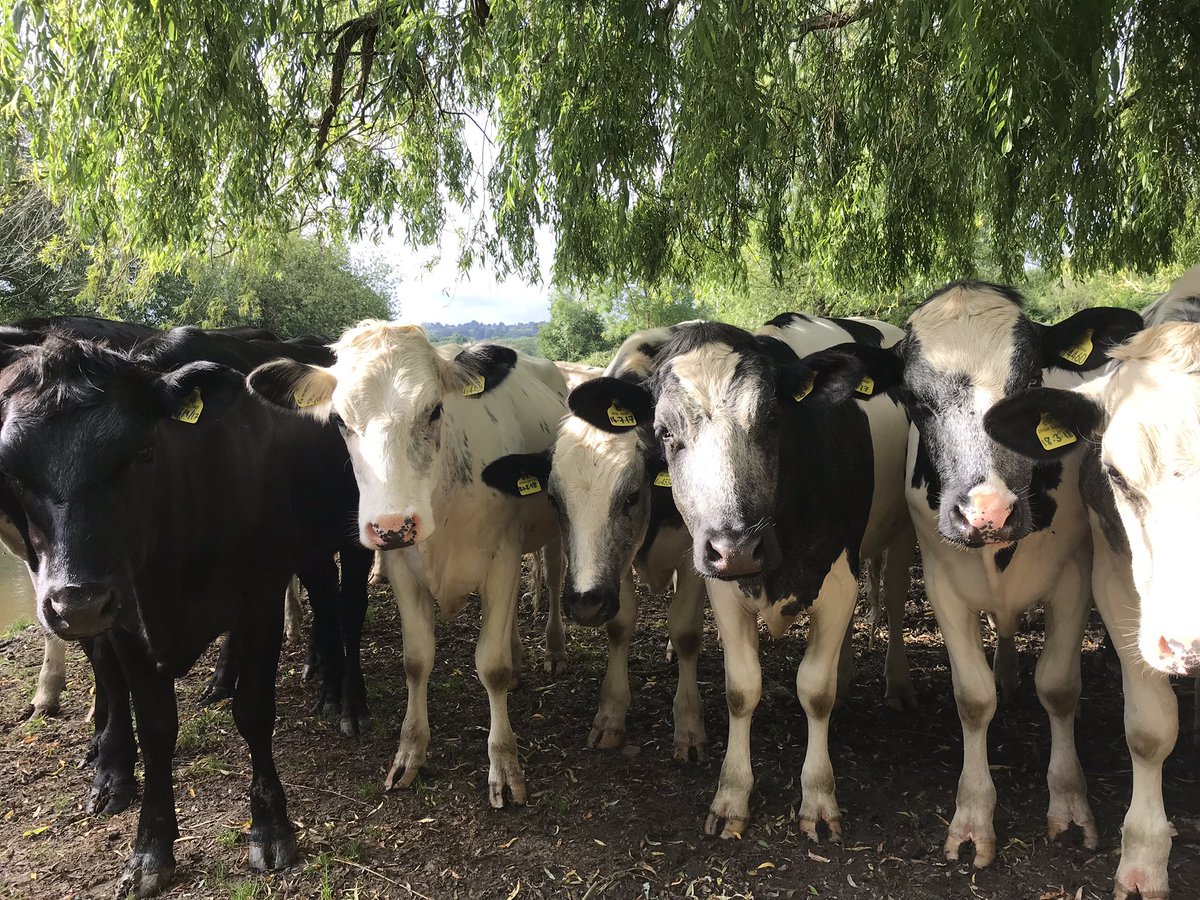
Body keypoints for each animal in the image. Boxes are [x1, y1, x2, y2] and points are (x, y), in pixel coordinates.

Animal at [0, 331, 364, 897]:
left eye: (143, 450)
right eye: (11, 472)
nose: (77, 602)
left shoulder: (259, 598)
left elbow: (254, 712)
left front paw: (270, 826)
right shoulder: (129, 622)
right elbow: (154, 728)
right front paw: (149, 848)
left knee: (348, 608)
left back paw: (345, 699)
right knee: (325, 597)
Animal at [247, 324, 566, 811]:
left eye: (435, 410)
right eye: (339, 421)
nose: (393, 525)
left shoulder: (503, 559)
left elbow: (490, 666)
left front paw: (504, 763)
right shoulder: (401, 568)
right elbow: (416, 661)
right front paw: (410, 751)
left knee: (553, 574)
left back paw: (553, 649)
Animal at [849, 283, 1147, 897]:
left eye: (1031, 380)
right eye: (913, 399)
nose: (987, 512)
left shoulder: (1075, 576)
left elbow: (1058, 687)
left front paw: (1069, 805)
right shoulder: (942, 580)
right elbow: (973, 697)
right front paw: (972, 819)